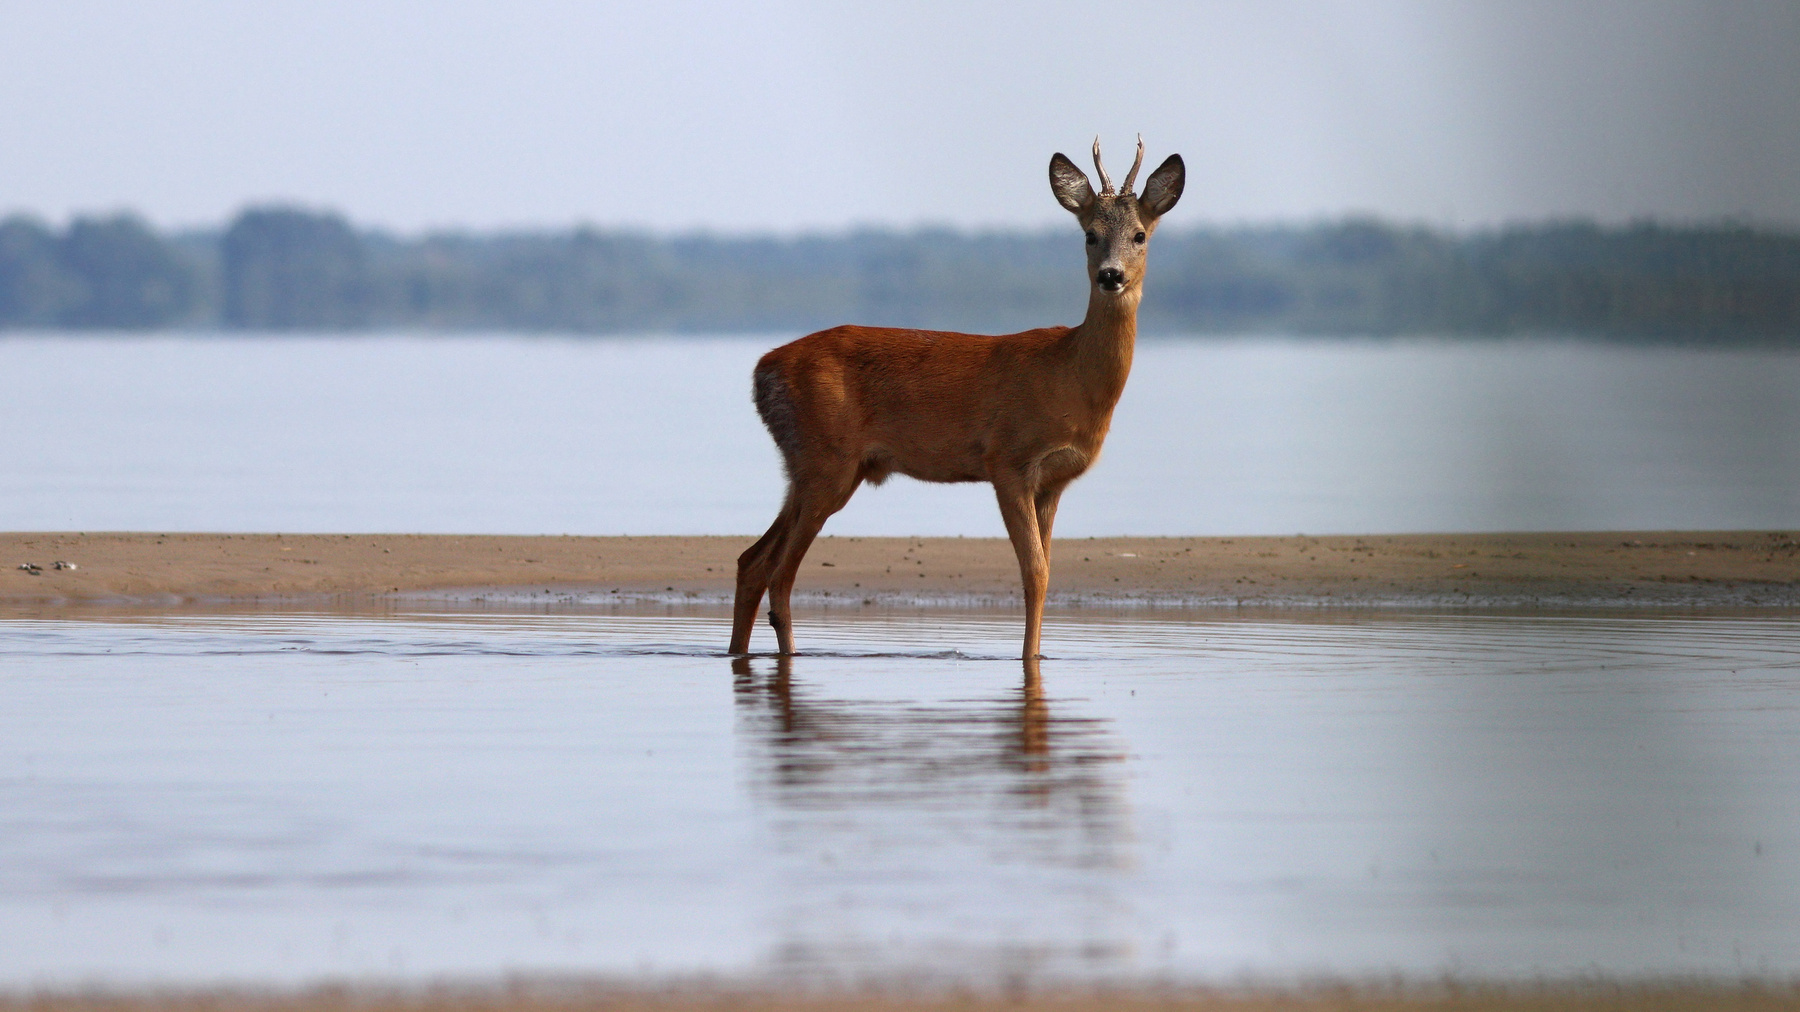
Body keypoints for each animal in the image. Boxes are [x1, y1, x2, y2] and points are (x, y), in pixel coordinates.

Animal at [729, 137, 1184, 660]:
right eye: (1089, 235)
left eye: (1140, 235)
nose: (1111, 275)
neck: (1071, 378)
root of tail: (762, 371)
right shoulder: (1008, 460)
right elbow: (1035, 573)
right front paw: (1028, 659)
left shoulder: (1052, 482)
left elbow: (1047, 570)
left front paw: (1038, 655)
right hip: (827, 460)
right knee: (779, 574)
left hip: (815, 468)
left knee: (752, 560)